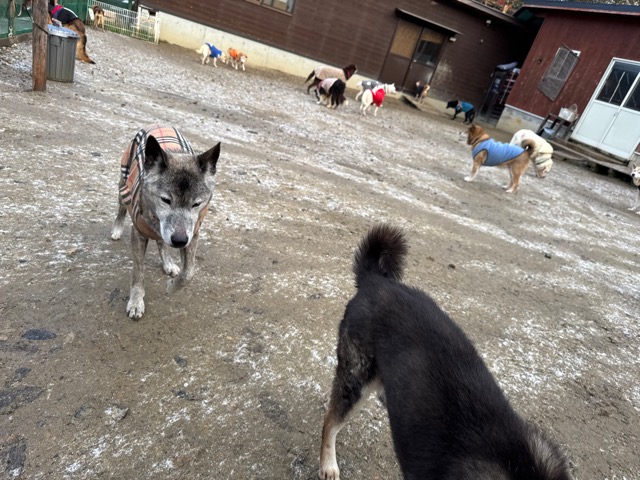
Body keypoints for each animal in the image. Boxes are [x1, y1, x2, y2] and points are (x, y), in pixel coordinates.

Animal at [110, 125, 221, 319]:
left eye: (196, 204)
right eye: (165, 200)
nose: (179, 241)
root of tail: (156, 124)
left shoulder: (192, 234)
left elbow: (188, 273)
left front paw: (171, 286)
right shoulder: (139, 233)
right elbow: (138, 271)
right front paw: (136, 301)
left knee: (162, 242)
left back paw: (168, 263)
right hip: (123, 184)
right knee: (122, 207)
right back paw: (117, 228)